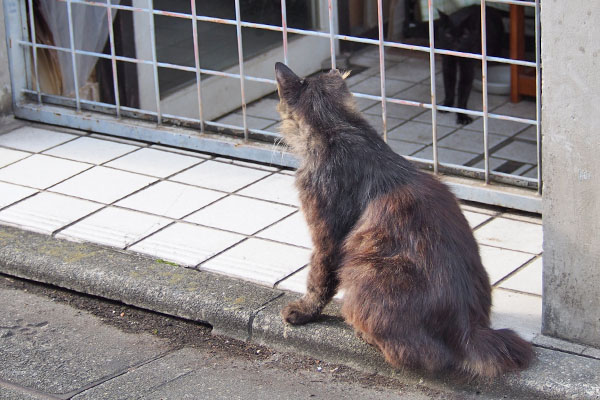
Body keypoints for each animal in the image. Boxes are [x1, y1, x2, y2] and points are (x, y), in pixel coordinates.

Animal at [274, 62, 532, 378]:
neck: (339, 127)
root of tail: (469, 328)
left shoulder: (327, 238)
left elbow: (318, 280)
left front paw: (302, 311)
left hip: (364, 271)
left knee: (422, 355)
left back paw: (364, 335)